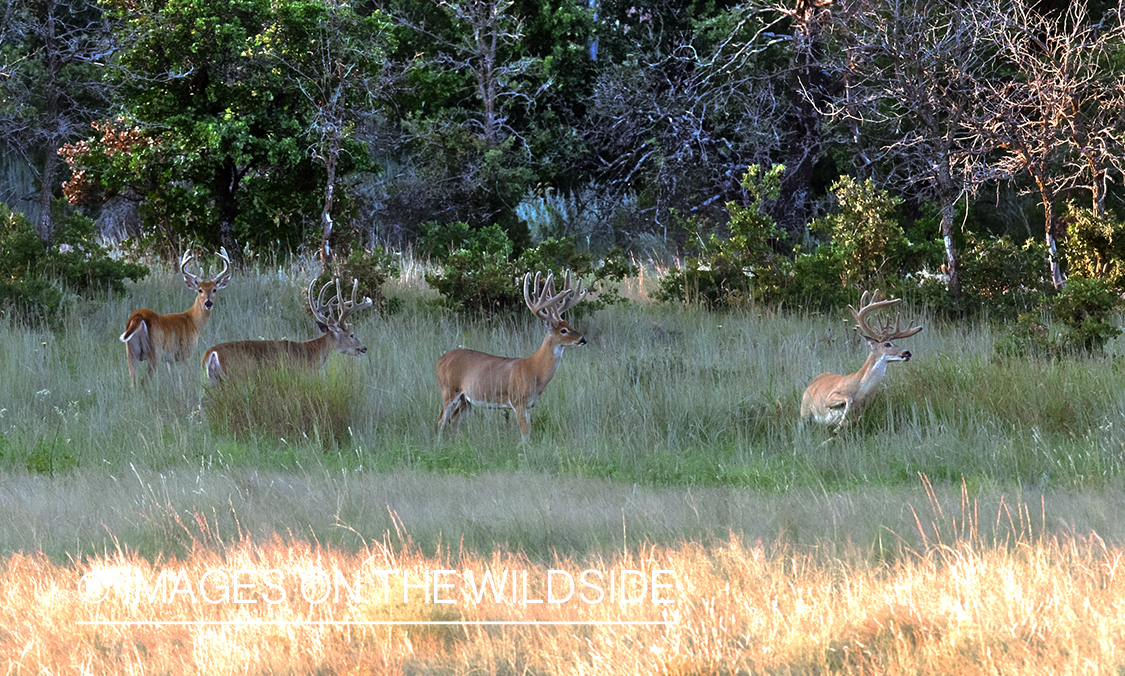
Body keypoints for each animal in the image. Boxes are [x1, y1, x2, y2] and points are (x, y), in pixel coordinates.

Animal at [120, 246, 230, 384]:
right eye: (200, 290)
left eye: (214, 289)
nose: (208, 303)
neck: (193, 321)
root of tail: (139, 316)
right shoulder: (186, 351)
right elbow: (186, 375)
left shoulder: (170, 359)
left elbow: (174, 379)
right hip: (154, 350)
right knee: (144, 381)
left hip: (131, 352)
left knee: (133, 383)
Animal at [202, 275, 373, 384]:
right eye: (352, 334)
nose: (364, 348)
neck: (311, 353)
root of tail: (212, 354)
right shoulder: (299, 376)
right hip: (236, 377)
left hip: (211, 382)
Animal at [434, 271, 589, 440]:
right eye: (563, 331)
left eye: (569, 325)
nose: (583, 339)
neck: (534, 370)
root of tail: (440, 360)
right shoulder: (518, 400)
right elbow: (525, 434)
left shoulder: (529, 405)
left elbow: (528, 431)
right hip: (449, 389)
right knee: (441, 419)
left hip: (466, 399)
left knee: (455, 419)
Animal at [801, 287, 922, 427]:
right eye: (887, 344)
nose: (907, 353)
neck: (860, 390)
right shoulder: (830, 396)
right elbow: (847, 399)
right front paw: (838, 424)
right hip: (804, 411)